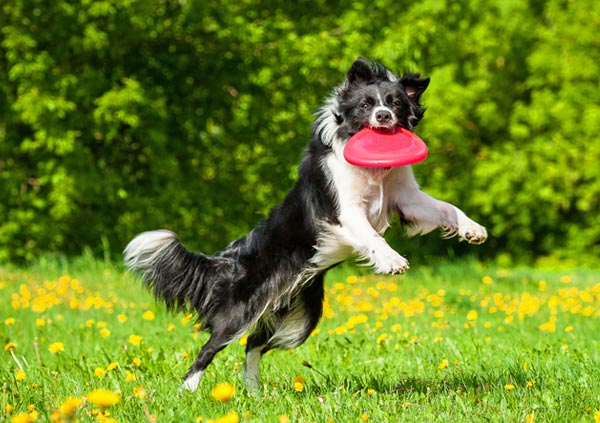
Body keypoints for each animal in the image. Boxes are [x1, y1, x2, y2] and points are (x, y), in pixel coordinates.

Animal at [125, 58, 488, 392]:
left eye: (395, 102)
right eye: (366, 105)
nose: (383, 116)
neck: (376, 173)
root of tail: (226, 259)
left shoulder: (406, 197)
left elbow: (446, 209)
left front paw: (473, 229)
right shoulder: (345, 210)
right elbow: (371, 235)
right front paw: (392, 260)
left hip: (299, 316)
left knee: (253, 345)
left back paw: (254, 393)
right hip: (241, 310)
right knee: (209, 348)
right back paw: (188, 392)